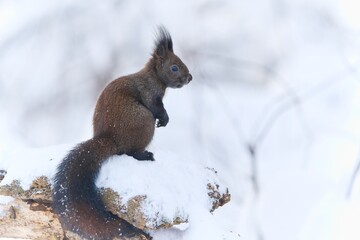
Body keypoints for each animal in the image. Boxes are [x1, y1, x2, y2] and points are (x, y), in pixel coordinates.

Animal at [52, 26, 191, 240]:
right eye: (174, 67)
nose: (189, 77)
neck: (153, 77)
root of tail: (107, 140)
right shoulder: (150, 94)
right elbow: (156, 108)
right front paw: (165, 118)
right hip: (144, 122)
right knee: (129, 152)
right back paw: (144, 155)